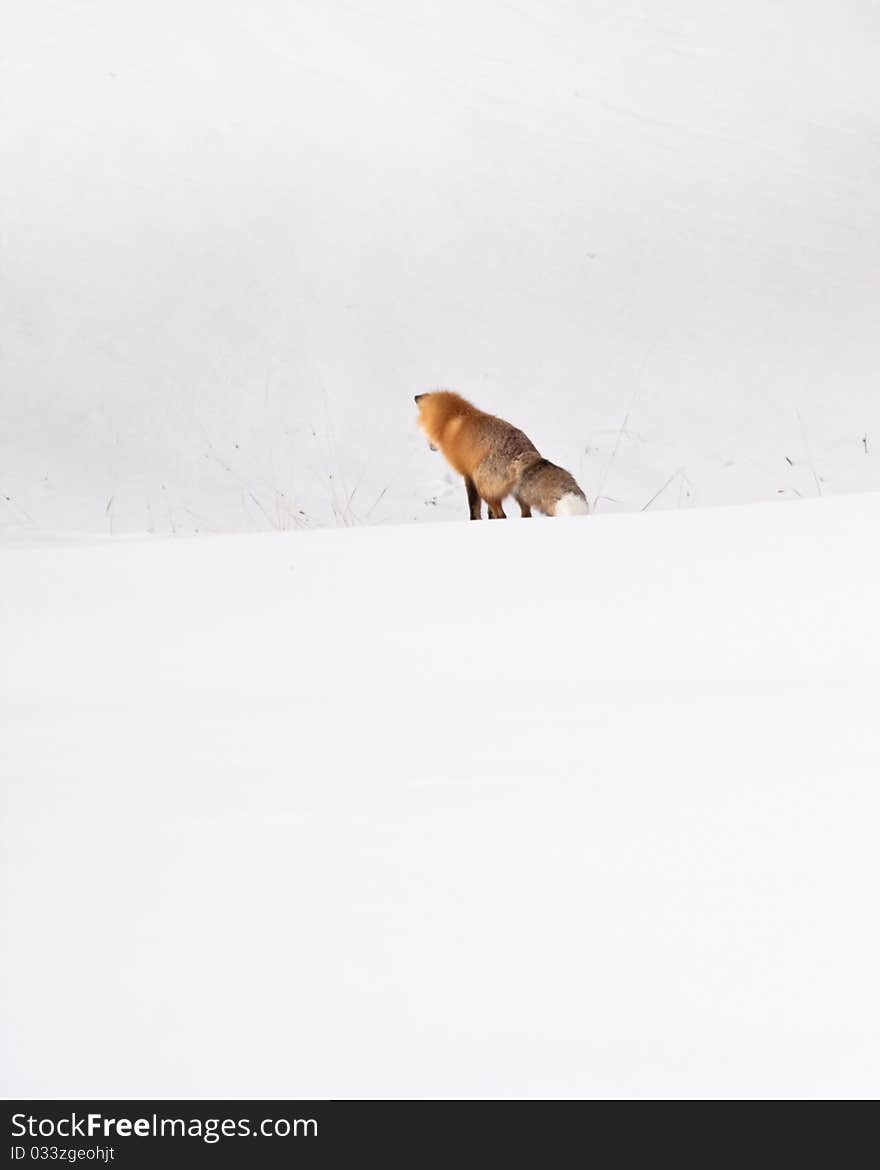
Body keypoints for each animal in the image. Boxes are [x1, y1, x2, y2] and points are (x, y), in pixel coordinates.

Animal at [414, 390, 592, 519]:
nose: (431, 447)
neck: (454, 418)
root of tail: (523, 453)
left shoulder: (468, 475)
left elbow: (474, 509)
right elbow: (487, 513)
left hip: (484, 488)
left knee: (502, 515)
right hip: (516, 493)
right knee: (525, 514)